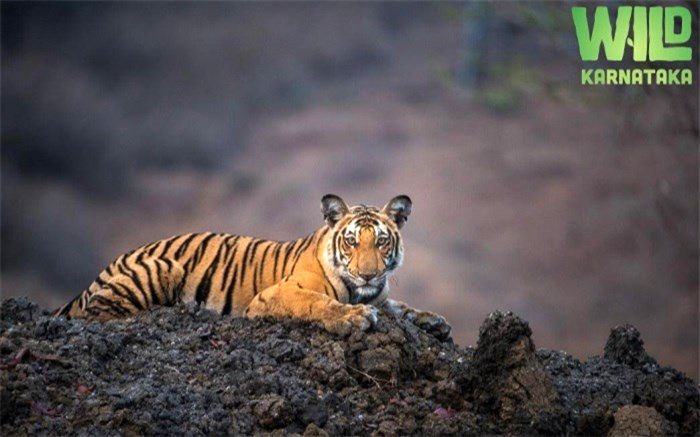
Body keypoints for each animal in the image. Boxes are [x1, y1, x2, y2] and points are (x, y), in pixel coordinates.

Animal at [52, 194, 452, 340]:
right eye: (352, 241)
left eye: (381, 241)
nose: (368, 273)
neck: (361, 290)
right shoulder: (277, 293)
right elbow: (317, 303)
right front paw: (353, 318)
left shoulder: (382, 296)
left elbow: (401, 307)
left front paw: (434, 321)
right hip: (164, 268)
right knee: (99, 316)